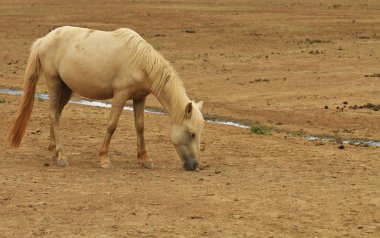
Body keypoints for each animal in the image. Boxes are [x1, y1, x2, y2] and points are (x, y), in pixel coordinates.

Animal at [7, 26, 205, 171]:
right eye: (191, 133)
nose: (195, 166)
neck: (141, 62)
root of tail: (44, 40)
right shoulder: (120, 96)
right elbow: (112, 125)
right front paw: (104, 158)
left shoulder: (140, 98)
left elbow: (140, 127)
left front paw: (144, 159)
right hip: (53, 82)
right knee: (54, 116)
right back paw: (62, 156)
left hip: (66, 88)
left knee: (56, 114)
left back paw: (54, 151)